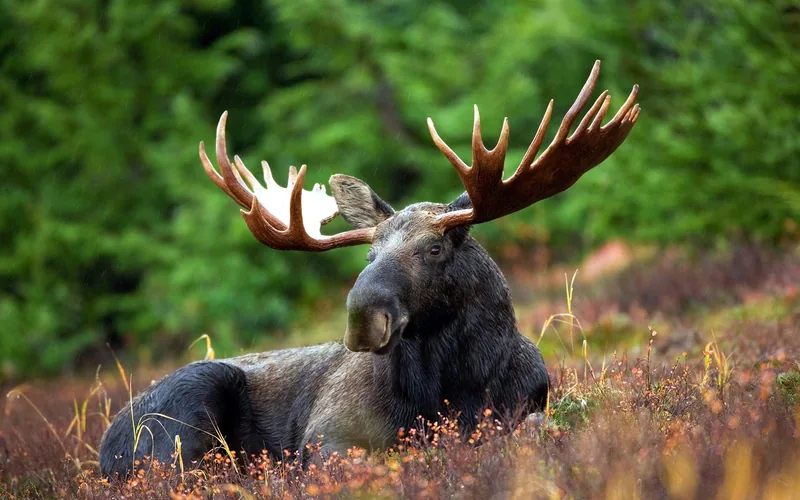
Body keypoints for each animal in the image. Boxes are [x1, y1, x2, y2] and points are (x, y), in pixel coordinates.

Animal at [99, 60, 640, 478]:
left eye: (434, 249)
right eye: (369, 255)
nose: (363, 317)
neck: (455, 386)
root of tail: (104, 449)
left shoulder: (526, 406)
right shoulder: (327, 436)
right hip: (187, 411)